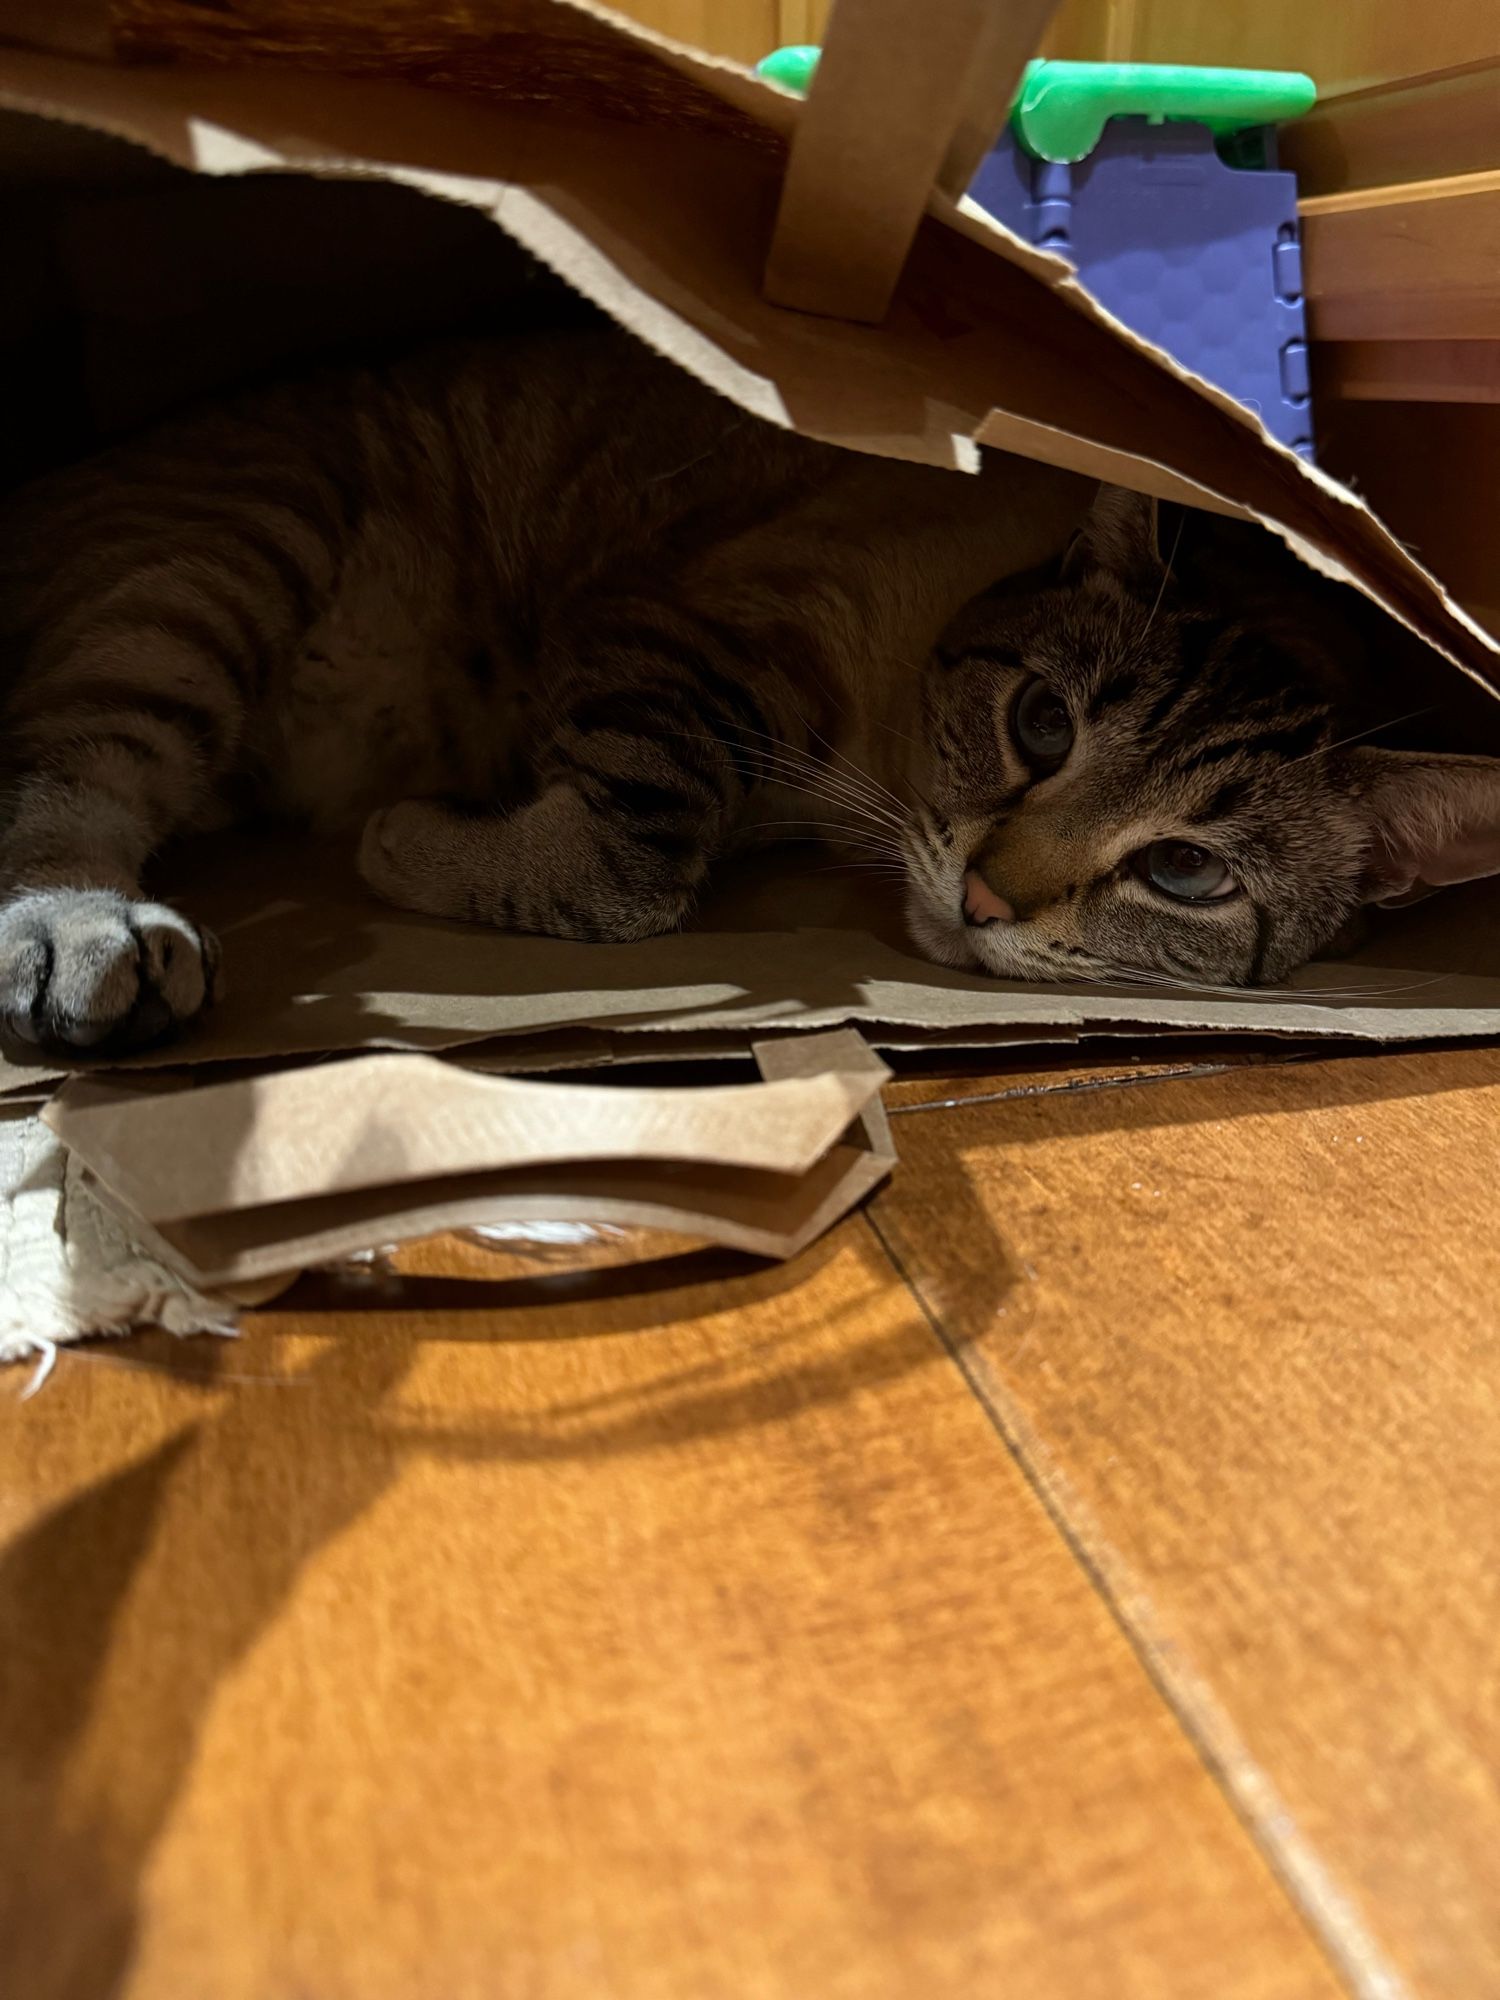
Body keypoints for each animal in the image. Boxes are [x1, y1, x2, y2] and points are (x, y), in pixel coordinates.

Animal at [2, 320, 1500, 1056]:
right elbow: (639, 856)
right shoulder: (688, 633)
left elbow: (631, 861)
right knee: (61, 785)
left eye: (1187, 875)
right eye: (1041, 724)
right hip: (224, 558)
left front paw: (408, 841)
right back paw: (86, 943)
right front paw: (407, 844)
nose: (984, 900)